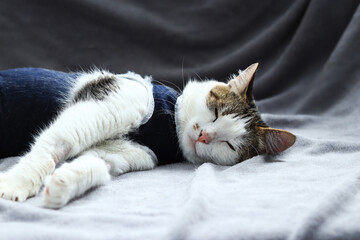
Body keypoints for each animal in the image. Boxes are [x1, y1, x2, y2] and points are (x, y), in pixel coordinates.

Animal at [0, 63, 296, 208]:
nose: (204, 136)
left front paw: (63, 184)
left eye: (230, 145)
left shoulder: (128, 153)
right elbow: (56, 145)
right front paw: (16, 184)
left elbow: (94, 164)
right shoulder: (102, 106)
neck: (168, 130)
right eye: (215, 112)